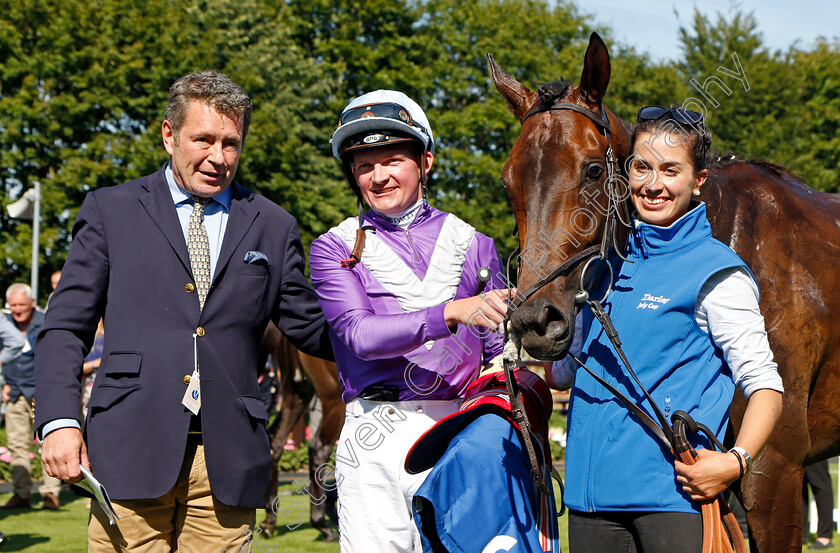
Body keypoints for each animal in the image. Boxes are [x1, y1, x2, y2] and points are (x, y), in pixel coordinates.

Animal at [260, 322, 344, 540]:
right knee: (319, 448)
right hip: (335, 398)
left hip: (296, 393)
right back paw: (322, 523)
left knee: (275, 441)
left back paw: (270, 520)